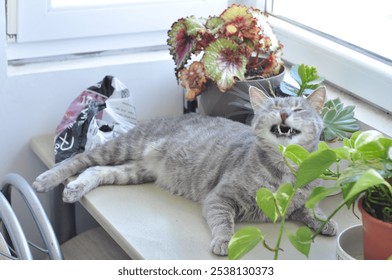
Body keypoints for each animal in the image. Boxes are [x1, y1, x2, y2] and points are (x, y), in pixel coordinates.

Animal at [33, 86, 336, 258]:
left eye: (298, 108)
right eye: (274, 108)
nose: (284, 115)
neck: (284, 169)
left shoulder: (297, 203)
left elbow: (310, 208)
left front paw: (325, 221)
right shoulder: (220, 197)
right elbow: (224, 222)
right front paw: (224, 241)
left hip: (135, 170)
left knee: (96, 170)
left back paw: (75, 188)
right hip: (123, 147)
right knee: (80, 160)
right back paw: (48, 179)